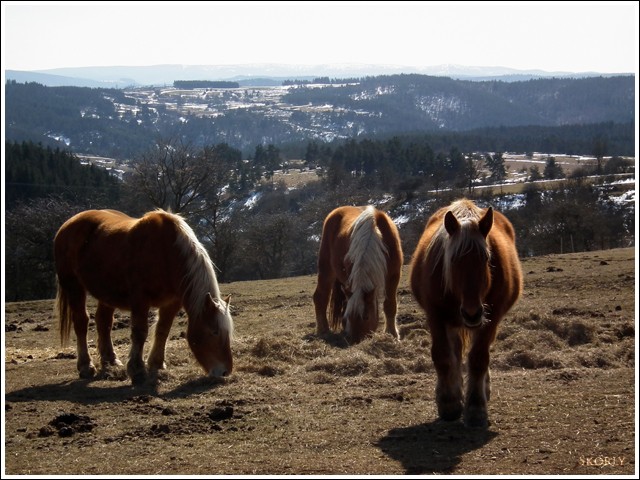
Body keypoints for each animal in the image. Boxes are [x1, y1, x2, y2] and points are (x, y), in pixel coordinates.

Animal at [52, 208, 232, 384]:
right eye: (214, 331)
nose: (225, 372)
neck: (166, 253)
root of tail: (67, 225)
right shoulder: (140, 301)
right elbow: (140, 332)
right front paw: (137, 370)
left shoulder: (171, 303)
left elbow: (163, 330)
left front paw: (157, 364)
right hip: (74, 286)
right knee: (81, 322)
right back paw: (85, 366)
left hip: (107, 293)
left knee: (104, 322)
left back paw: (111, 360)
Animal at [312, 204, 402, 344]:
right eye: (349, 316)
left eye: (366, 317)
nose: (354, 340)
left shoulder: (394, 275)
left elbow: (390, 305)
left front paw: (392, 334)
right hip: (326, 269)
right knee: (320, 297)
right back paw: (323, 331)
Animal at [410, 199, 520, 428]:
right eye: (453, 260)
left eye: (486, 258)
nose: (472, 314)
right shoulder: (435, 316)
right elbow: (443, 356)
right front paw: (449, 403)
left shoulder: (491, 319)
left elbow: (478, 359)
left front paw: (476, 408)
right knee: (455, 352)